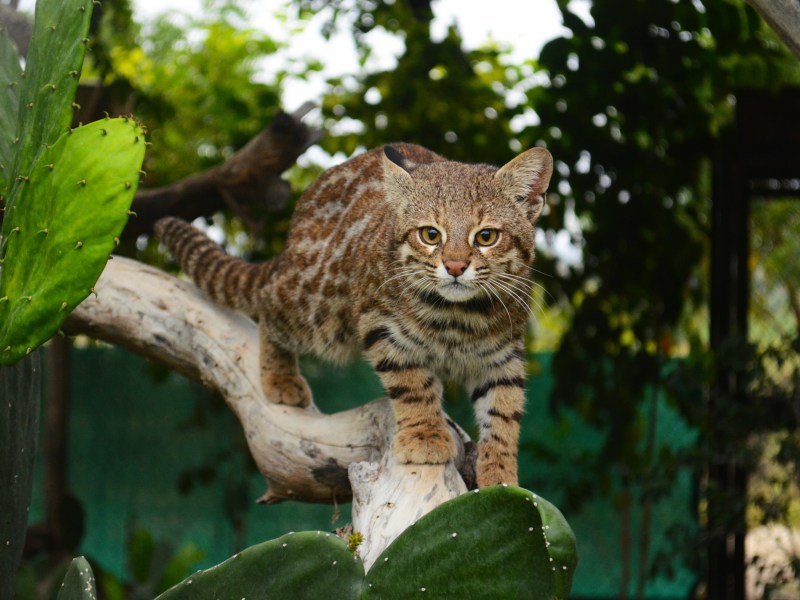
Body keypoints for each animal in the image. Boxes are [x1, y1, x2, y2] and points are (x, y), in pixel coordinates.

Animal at [157, 144, 556, 488]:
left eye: (486, 237)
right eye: (430, 234)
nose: (455, 266)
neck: (458, 313)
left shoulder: (502, 355)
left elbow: (504, 412)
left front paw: (500, 469)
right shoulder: (383, 328)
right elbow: (412, 386)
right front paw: (425, 435)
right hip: (318, 308)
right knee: (270, 304)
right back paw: (279, 377)